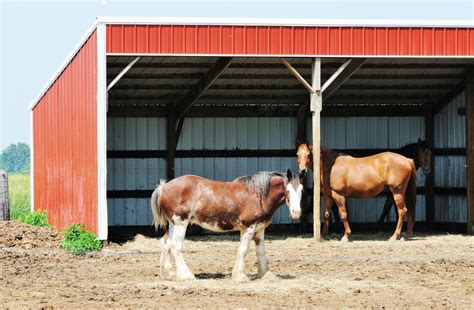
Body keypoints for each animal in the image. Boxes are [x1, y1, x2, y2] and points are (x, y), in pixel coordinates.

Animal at [150, 171, 302, 282]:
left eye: (301, 190)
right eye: (288, 190)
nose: (296, 213)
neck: (257, 195)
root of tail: (163, 187)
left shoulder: (259, 229)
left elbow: (260, 251)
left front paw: (265, 274)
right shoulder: (248, 227)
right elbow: (243, 250)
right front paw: (240, 276)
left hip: (172, 224)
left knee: (166, 243)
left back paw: (169, 274)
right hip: (181, 223)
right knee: (176, 246)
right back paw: (186, 276)